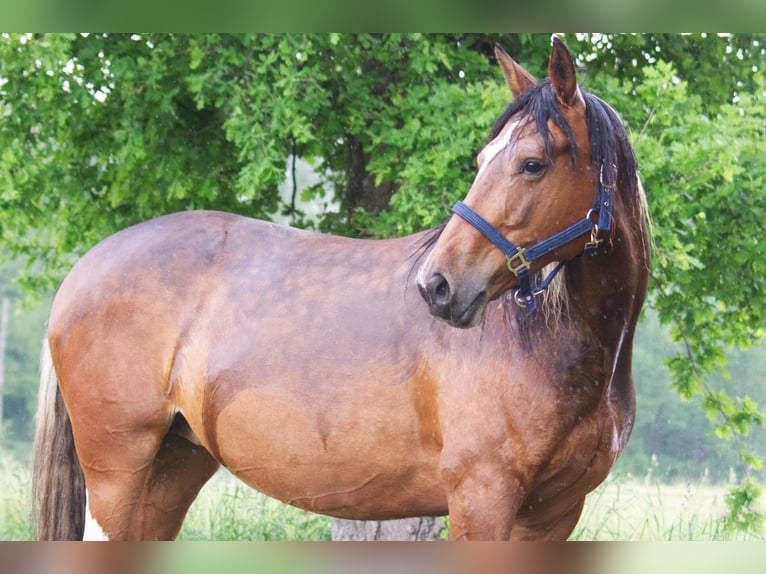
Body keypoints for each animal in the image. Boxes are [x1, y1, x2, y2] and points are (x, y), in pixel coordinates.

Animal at [33, 38, 652, 544]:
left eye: (531, 164)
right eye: (484, 160)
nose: (437, 285)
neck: (555, 343)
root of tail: (85, 269)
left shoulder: (553, 513)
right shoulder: (483, 499)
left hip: (173, 465)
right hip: (117, 472)